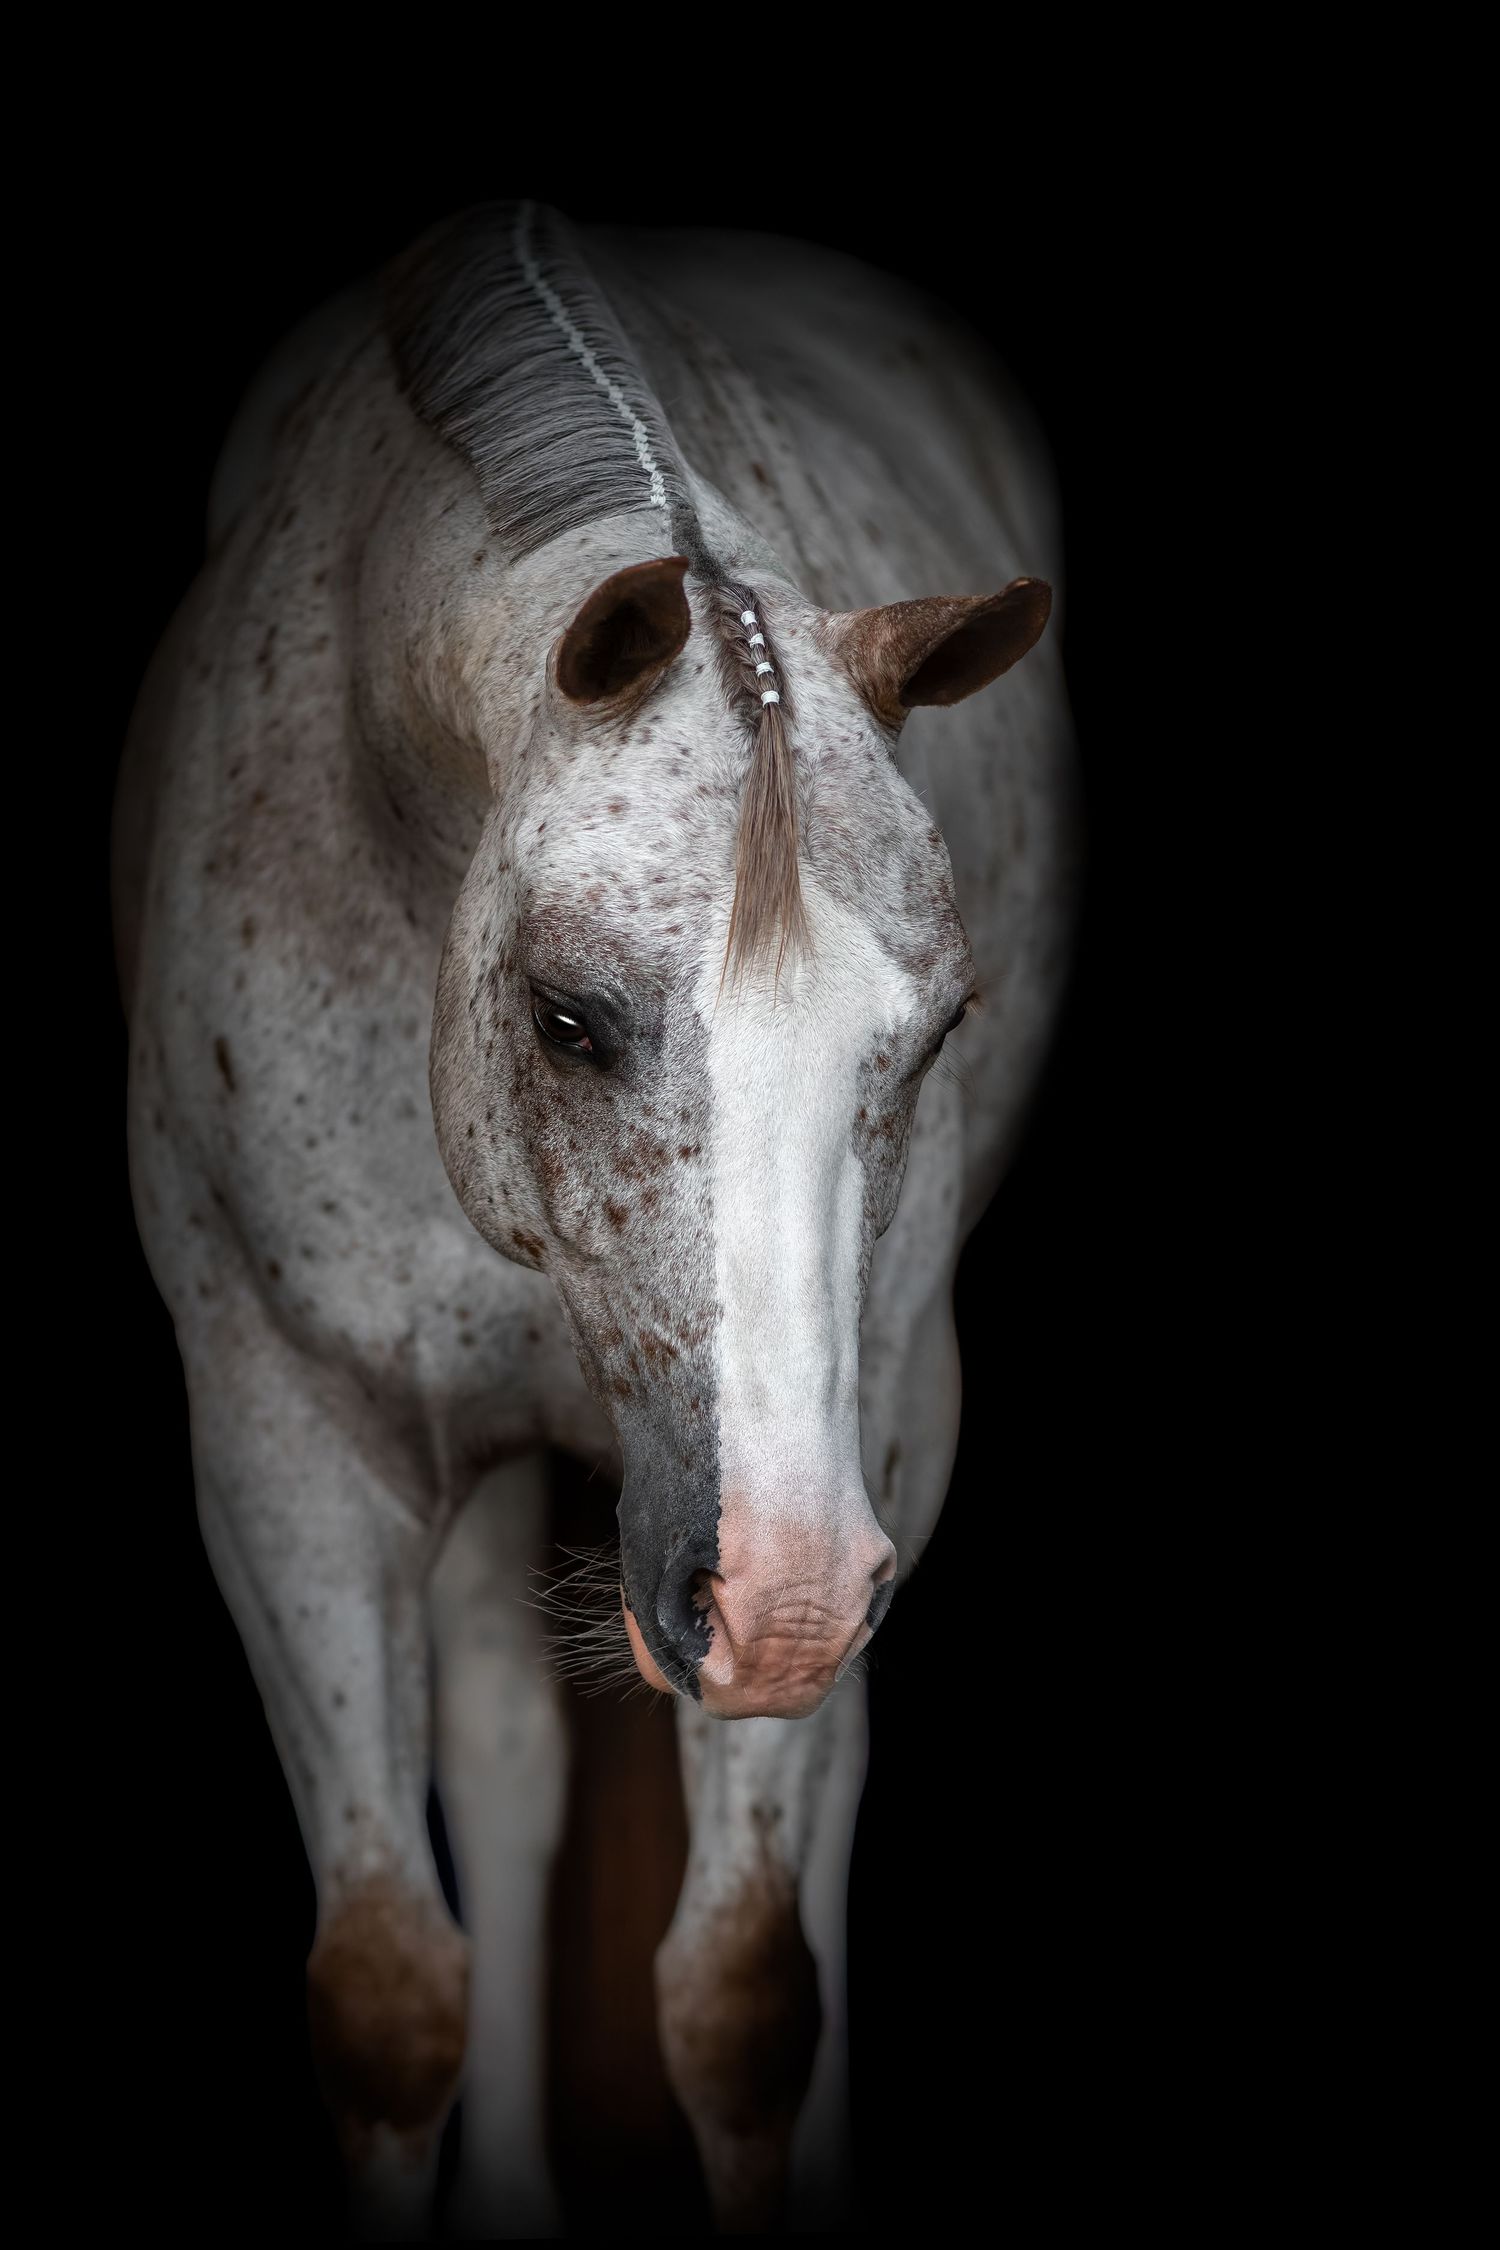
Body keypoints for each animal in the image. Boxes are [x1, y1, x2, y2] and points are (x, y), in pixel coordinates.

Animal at [113, 199, 1075, 2236]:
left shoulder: (871, 1435)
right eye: (566, 1014)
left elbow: (744, 1995)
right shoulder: (287, 1441)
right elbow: (389, 1996)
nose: (782, 1595)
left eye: (939, 1027)